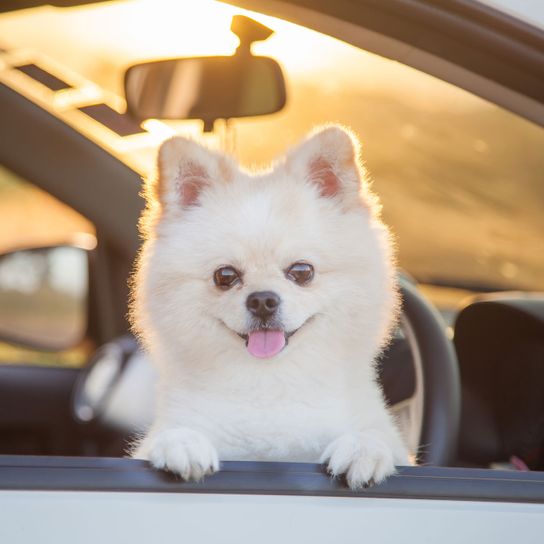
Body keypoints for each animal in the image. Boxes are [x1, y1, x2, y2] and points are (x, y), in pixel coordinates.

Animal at [131, 124, 408, 488]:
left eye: (302, 271)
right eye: (225, 276)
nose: (262, 300)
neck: (270, 384)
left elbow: (377, 437)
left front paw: (364, 447)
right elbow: (173, 433)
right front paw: (182, 441)